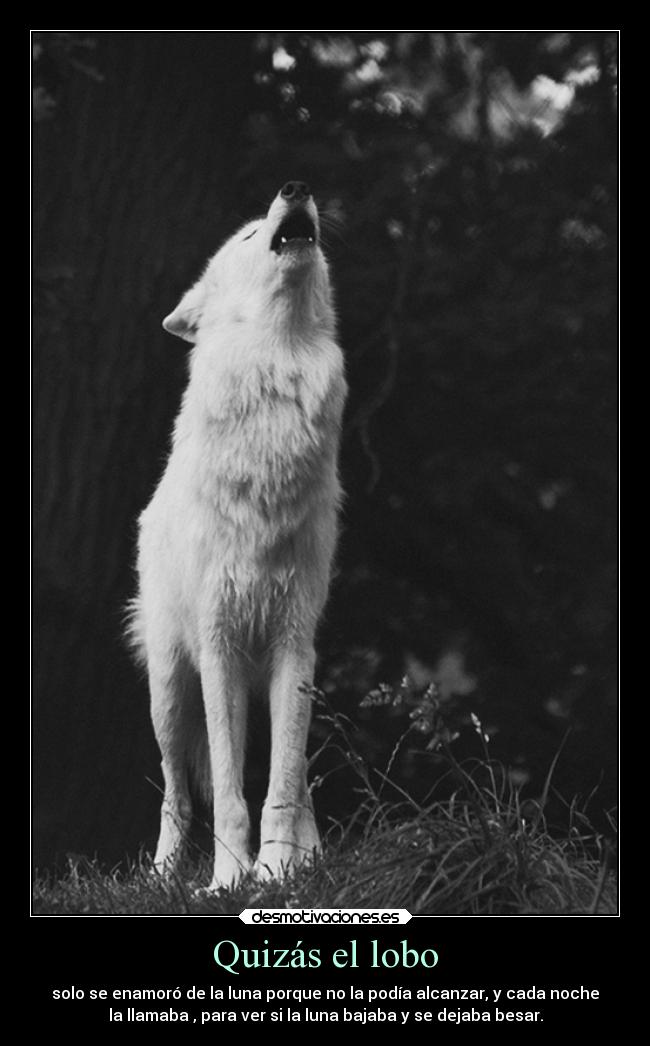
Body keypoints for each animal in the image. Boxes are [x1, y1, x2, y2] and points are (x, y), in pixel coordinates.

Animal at [129, 182, 347, 891]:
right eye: (250, 236)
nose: (296, 187)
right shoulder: (219, 646)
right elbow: (227, 792)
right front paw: (228, 880)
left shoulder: (294, 644)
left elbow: (278, 785)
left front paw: (278, 871)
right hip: (170, 692)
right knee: (175, 792)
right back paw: (162, 876)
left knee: (297, 777)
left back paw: (314, 858)